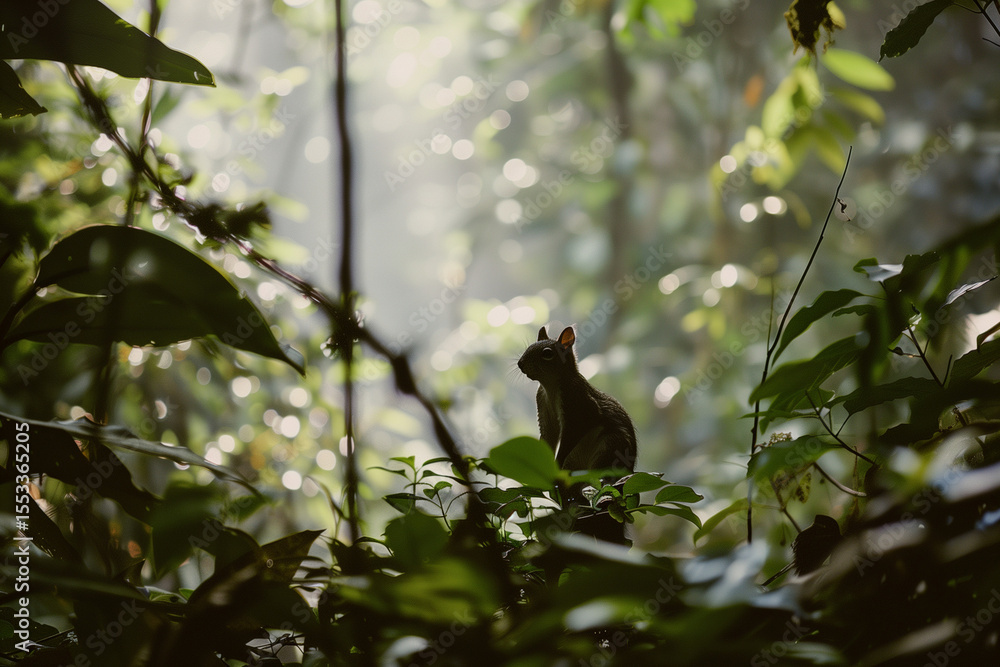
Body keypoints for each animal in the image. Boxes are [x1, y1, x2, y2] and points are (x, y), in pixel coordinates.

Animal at [517, 325, 637, 473]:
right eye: (528, 347)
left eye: (547, 353)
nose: (520, 364)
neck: (550, 386)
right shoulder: (544, 409)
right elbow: (548, 438)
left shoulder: (577, 403)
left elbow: (570, 437)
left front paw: (557, 463)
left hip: (610, 447)